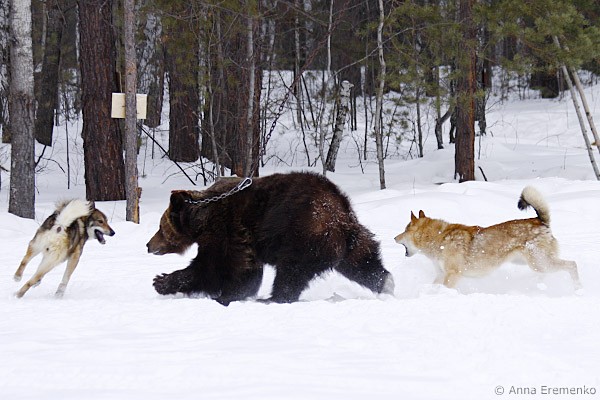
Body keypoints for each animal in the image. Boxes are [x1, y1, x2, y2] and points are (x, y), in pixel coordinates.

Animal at [146, 171, 394, 305]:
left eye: (160, 227)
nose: (149, 244)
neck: (201, 220)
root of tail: (341, 216)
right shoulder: (241, 240)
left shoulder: (225, 231)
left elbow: (214, 268)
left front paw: (161, 281)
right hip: (352, 241)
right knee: (363, 263)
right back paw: (386, 283)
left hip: (303, 235)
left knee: (291, 272)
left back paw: (273, 298)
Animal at [394, 187, 581, 289]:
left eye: (404, 230)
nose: (394, 238)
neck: (439, 238)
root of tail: (540, 221)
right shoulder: (441, 275)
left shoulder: (452, 274)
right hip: (534, 264)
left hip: (540, 262)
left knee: (572, 265)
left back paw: (578, 288)